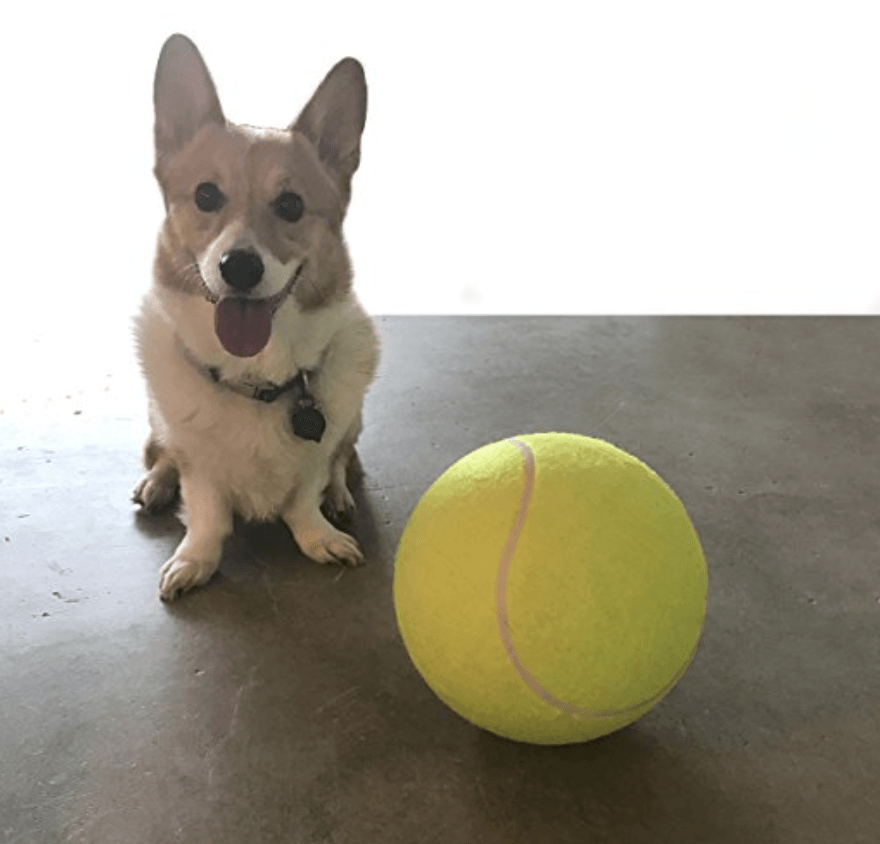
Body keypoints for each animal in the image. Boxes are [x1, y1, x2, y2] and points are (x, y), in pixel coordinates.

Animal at [133, 34, 378, 600]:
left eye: (290, 205)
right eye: (206, 195)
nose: (240, 266)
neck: (256, 377)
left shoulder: (319, 448)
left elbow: (306, 495)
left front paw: (319, 535)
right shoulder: (198, 463)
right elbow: (206, 511)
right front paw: (196, 559)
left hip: (353, 419)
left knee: (341, 462)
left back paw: (340, 497)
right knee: (162, 452)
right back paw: (156, 484)